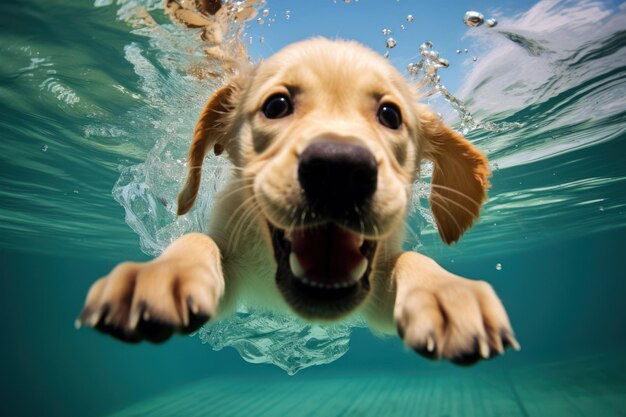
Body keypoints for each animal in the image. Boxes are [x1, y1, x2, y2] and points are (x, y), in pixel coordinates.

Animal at [78, 39, 516, 364]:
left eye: (390, 115)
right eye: (277, 106)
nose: (339, 169)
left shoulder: (376, 295)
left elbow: (410, 259)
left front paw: (446, 292)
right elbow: (199, 240)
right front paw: (163, 272)